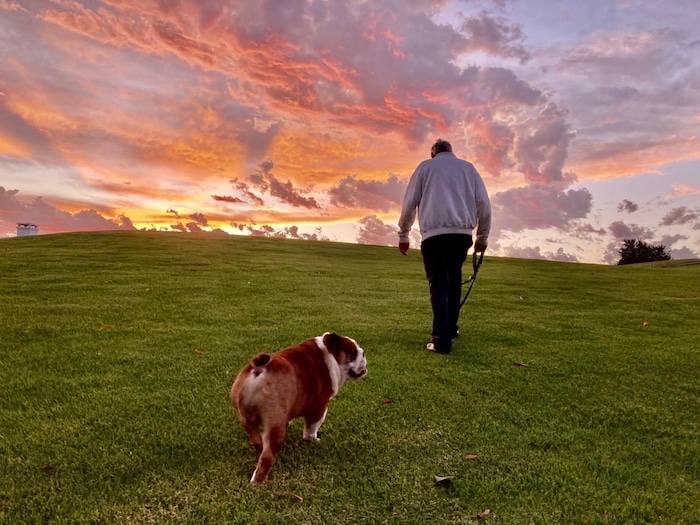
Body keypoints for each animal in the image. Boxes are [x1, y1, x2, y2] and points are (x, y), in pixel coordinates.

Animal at [231, 332, 370, 484]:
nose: (363, 352)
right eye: (353, 352)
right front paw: (312, 440)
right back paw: (258, 482)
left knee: (256, 439)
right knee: (267, 456)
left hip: (246, 418)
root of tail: (259, 369)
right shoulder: (319, 407)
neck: (330, 354)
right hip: (275, 423)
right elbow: (311, 427)